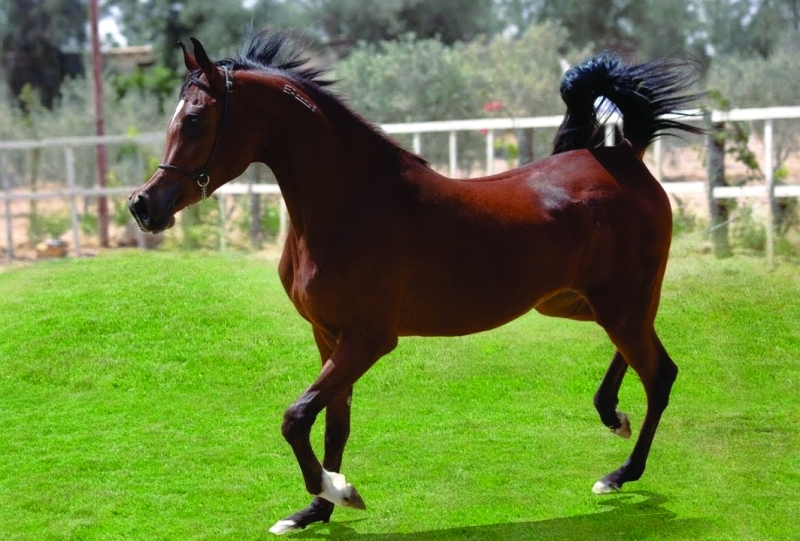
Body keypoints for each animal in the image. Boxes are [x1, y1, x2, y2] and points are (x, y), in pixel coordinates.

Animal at [128, 31, 704, 532]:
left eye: (195, 119)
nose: (143, 206)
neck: (350, 203)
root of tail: (624, 157)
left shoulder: (369, 339)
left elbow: (296, 416)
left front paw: (339, 491)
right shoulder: (329, 335)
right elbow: (332, 421)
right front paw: (312, 511)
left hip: (619, 303)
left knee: (660, 374)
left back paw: (620, 473)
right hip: (575, 302)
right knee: (637, 354)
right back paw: (612, 417)